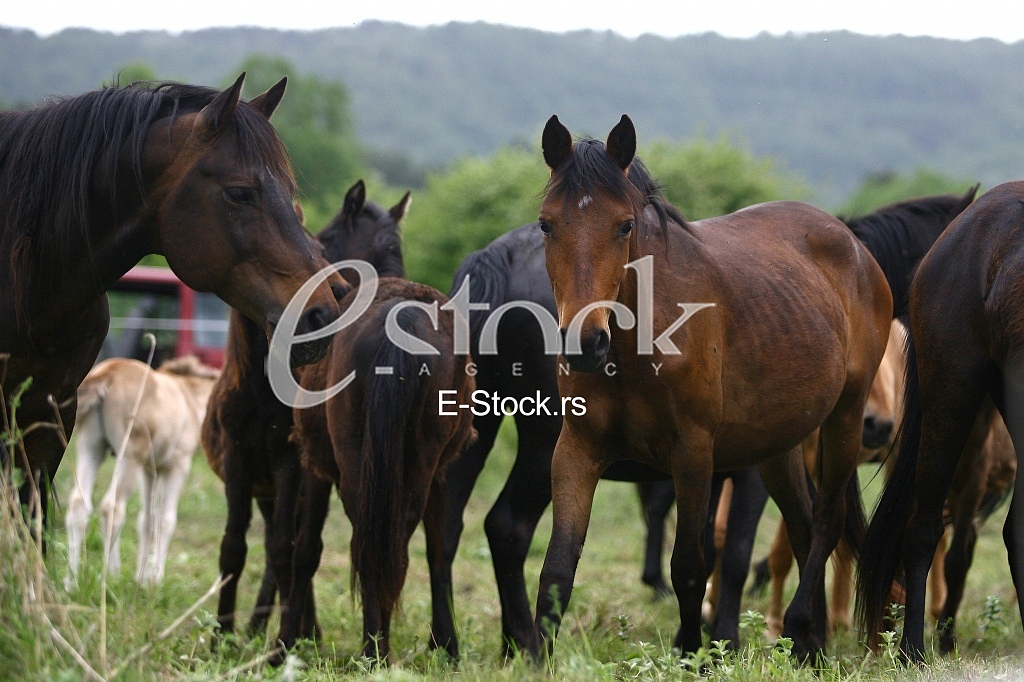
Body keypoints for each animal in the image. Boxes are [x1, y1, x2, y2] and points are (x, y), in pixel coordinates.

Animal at [65, 355, 219, 586]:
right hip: (129, 458)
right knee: (112, 508)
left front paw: (141, 578)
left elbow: (147, 519)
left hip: (90, 448)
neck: (189, 399)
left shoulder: (150, 471)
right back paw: (110, 577)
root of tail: (109, 372)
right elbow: (165, 520)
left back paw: (70, 583)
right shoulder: (177, 466)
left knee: (79, 504)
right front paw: (156, 578)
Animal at [201, 180, 410, 635]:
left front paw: (294, 632)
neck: (260, 390)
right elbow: (233, 547)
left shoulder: (291, 466)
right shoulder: (238, 462)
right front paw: (222, 635)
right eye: (380, 250)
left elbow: (285, 548)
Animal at [278, 277, 476, 662]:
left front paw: (285, 643)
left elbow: (306, 549)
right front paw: (446, 645)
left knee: (371, 541)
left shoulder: (314, 466)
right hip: (418, 459)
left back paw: (374, 650)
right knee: (391, 539)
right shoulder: (438, 473)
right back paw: (379, 646)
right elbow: (439, 547)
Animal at [530, 114, 891, 660]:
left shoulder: (694, 454)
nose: (585, 343)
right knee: (804, 525)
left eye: (625, 225)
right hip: (778, 447)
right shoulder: (577, 450)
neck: (639, 347)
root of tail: (854, 247)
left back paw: (799, 626)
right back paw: (810, 648)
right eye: (547, 224)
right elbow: (557, 569)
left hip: (845, 419)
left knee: (827, 520)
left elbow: (689, 566)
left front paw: (695, 653)